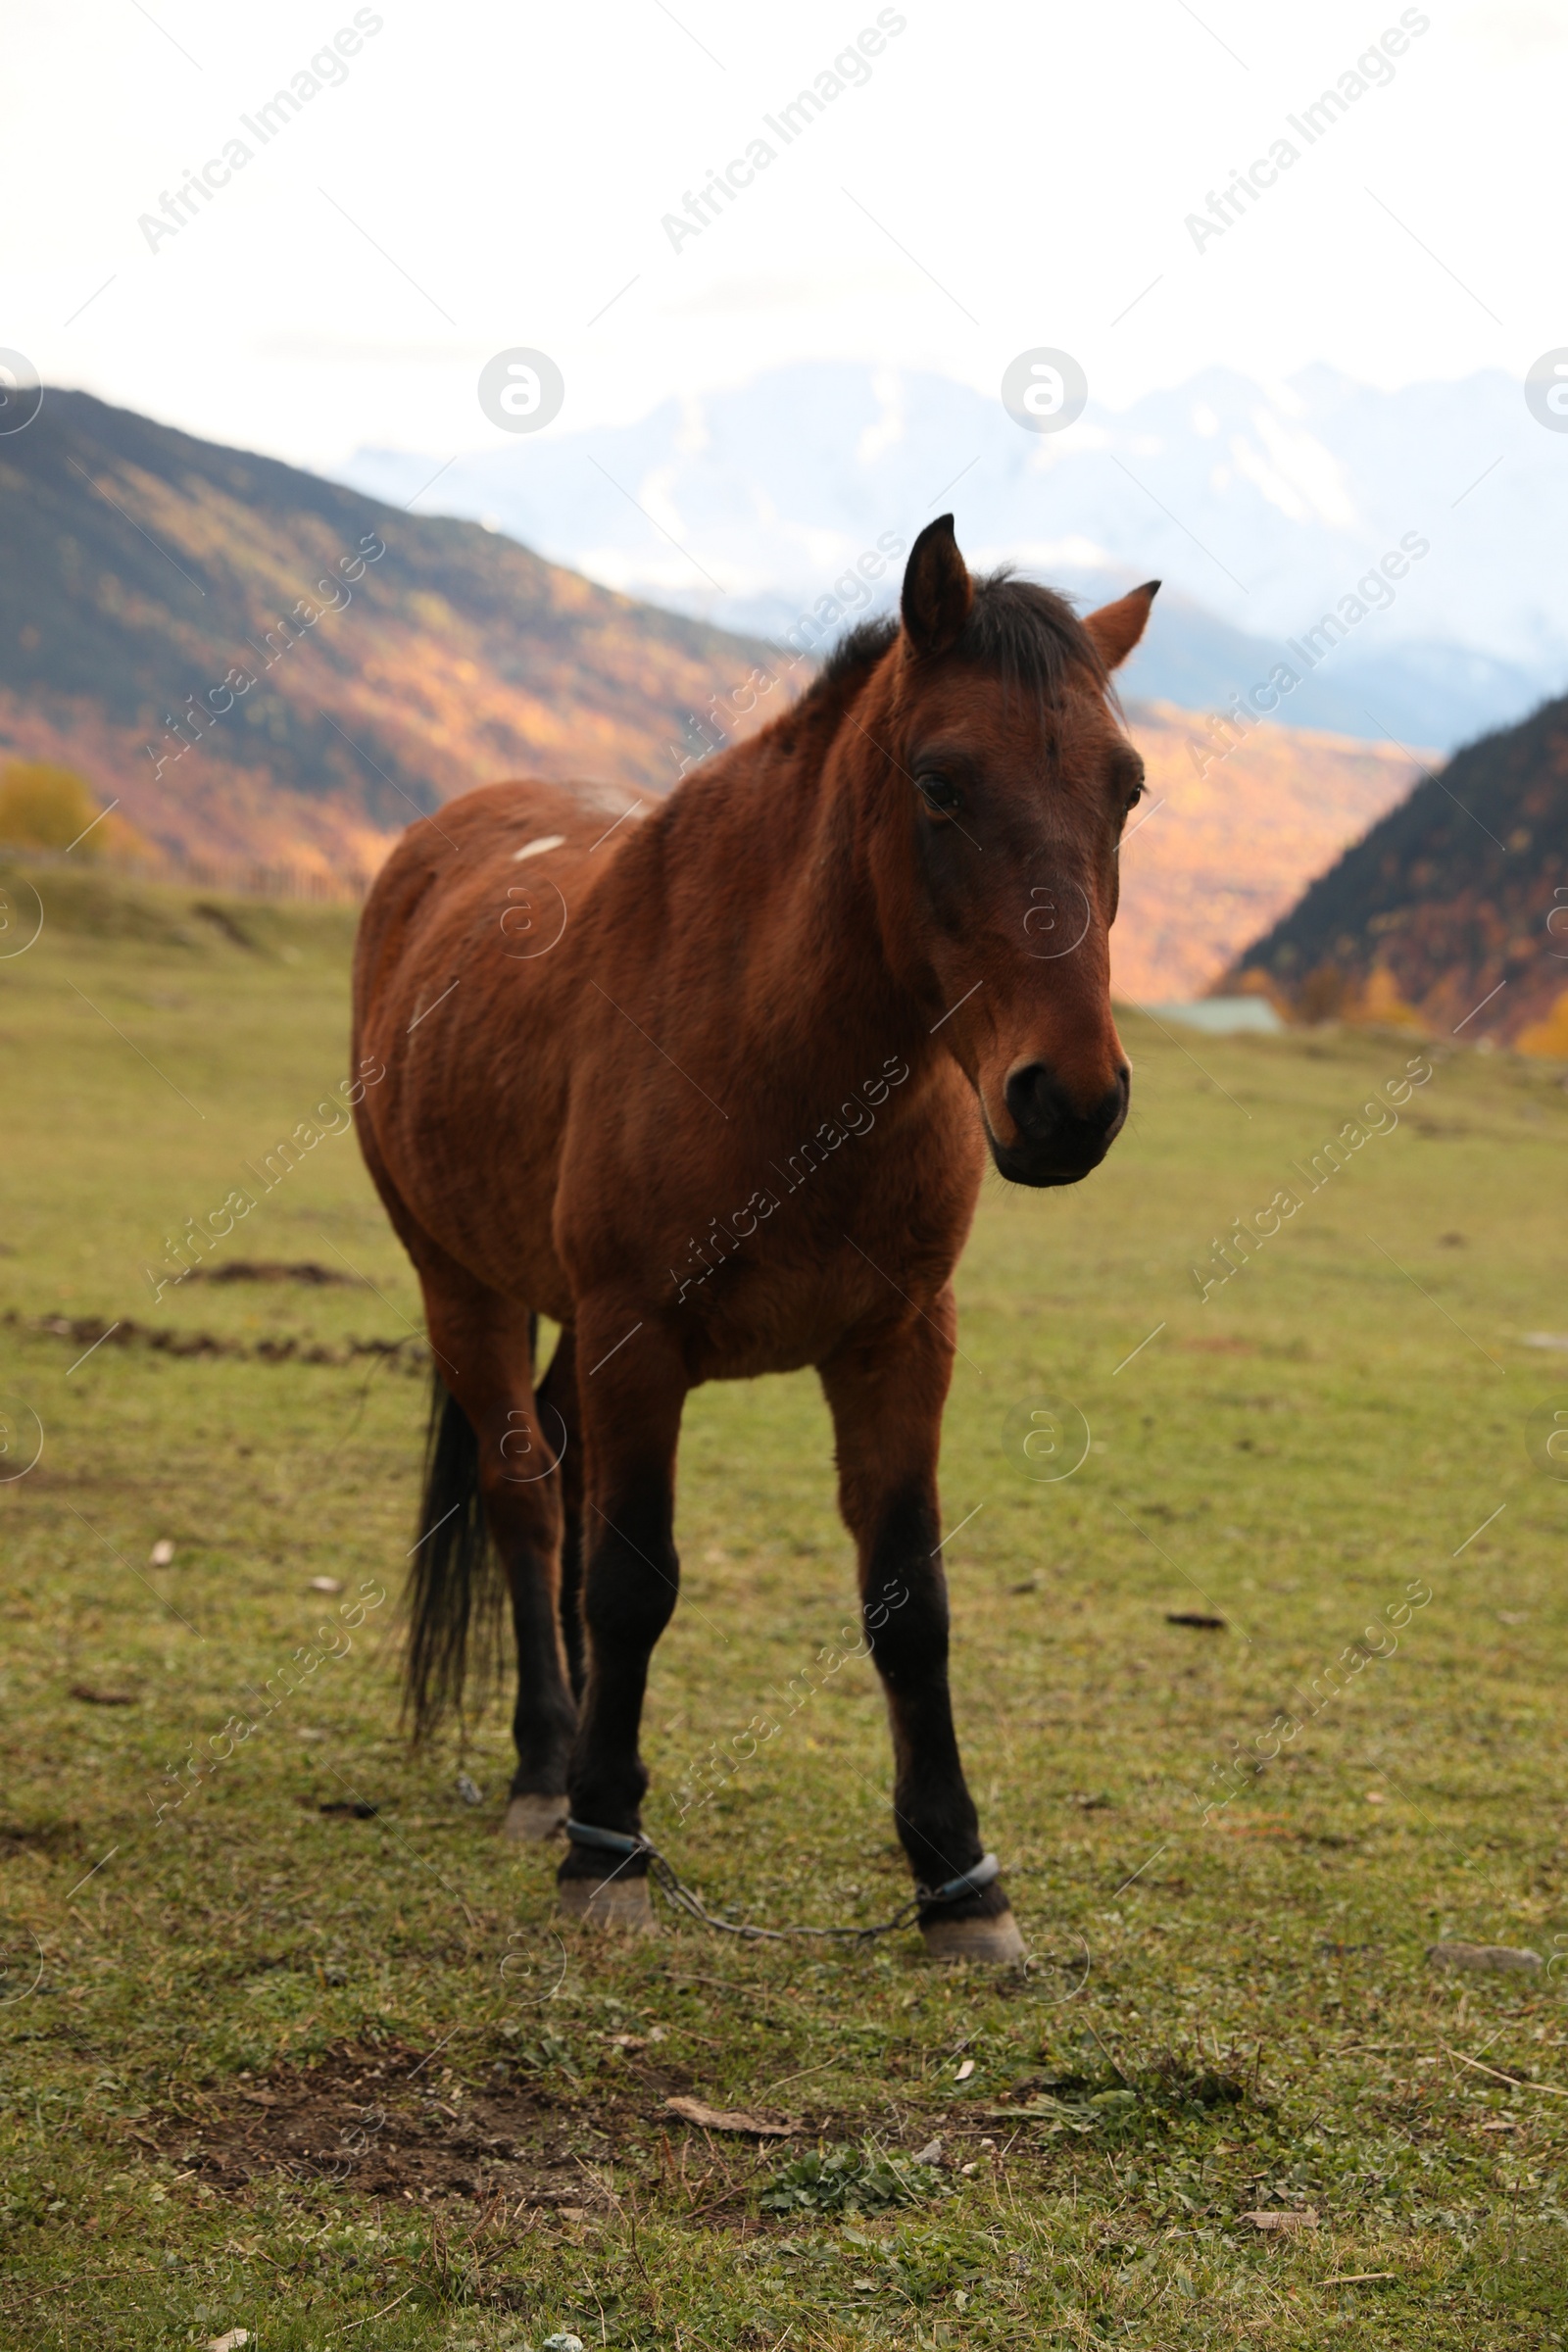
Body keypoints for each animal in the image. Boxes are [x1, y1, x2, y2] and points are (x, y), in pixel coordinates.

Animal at [362, 519, 1161, 1966]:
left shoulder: (898, 1345)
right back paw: (550, 1772)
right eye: (940, 781)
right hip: (463, 1287)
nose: (1068, 1101)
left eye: (1125, 789)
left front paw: (959, 1880)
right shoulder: (637, 1334)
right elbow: (632, 1578)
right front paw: (606, 1852)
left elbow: (909, 1603)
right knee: (527, 1500)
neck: (784, 1054)